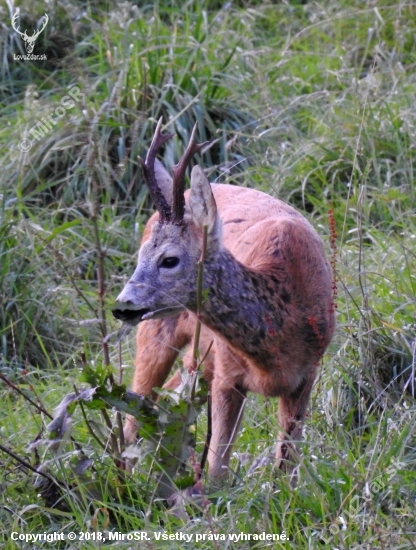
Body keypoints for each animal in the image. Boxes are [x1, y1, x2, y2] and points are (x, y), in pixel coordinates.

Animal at [111, 119, 334, 484]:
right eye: (140, 255)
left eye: (169, 259)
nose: (122, 304)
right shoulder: (227, 376)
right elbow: (217, 470)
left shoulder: (307, 374)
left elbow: (287, 465)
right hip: (160, 333)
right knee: (134, 410)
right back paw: (124, 483)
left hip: (199, 357)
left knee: (166, 397)